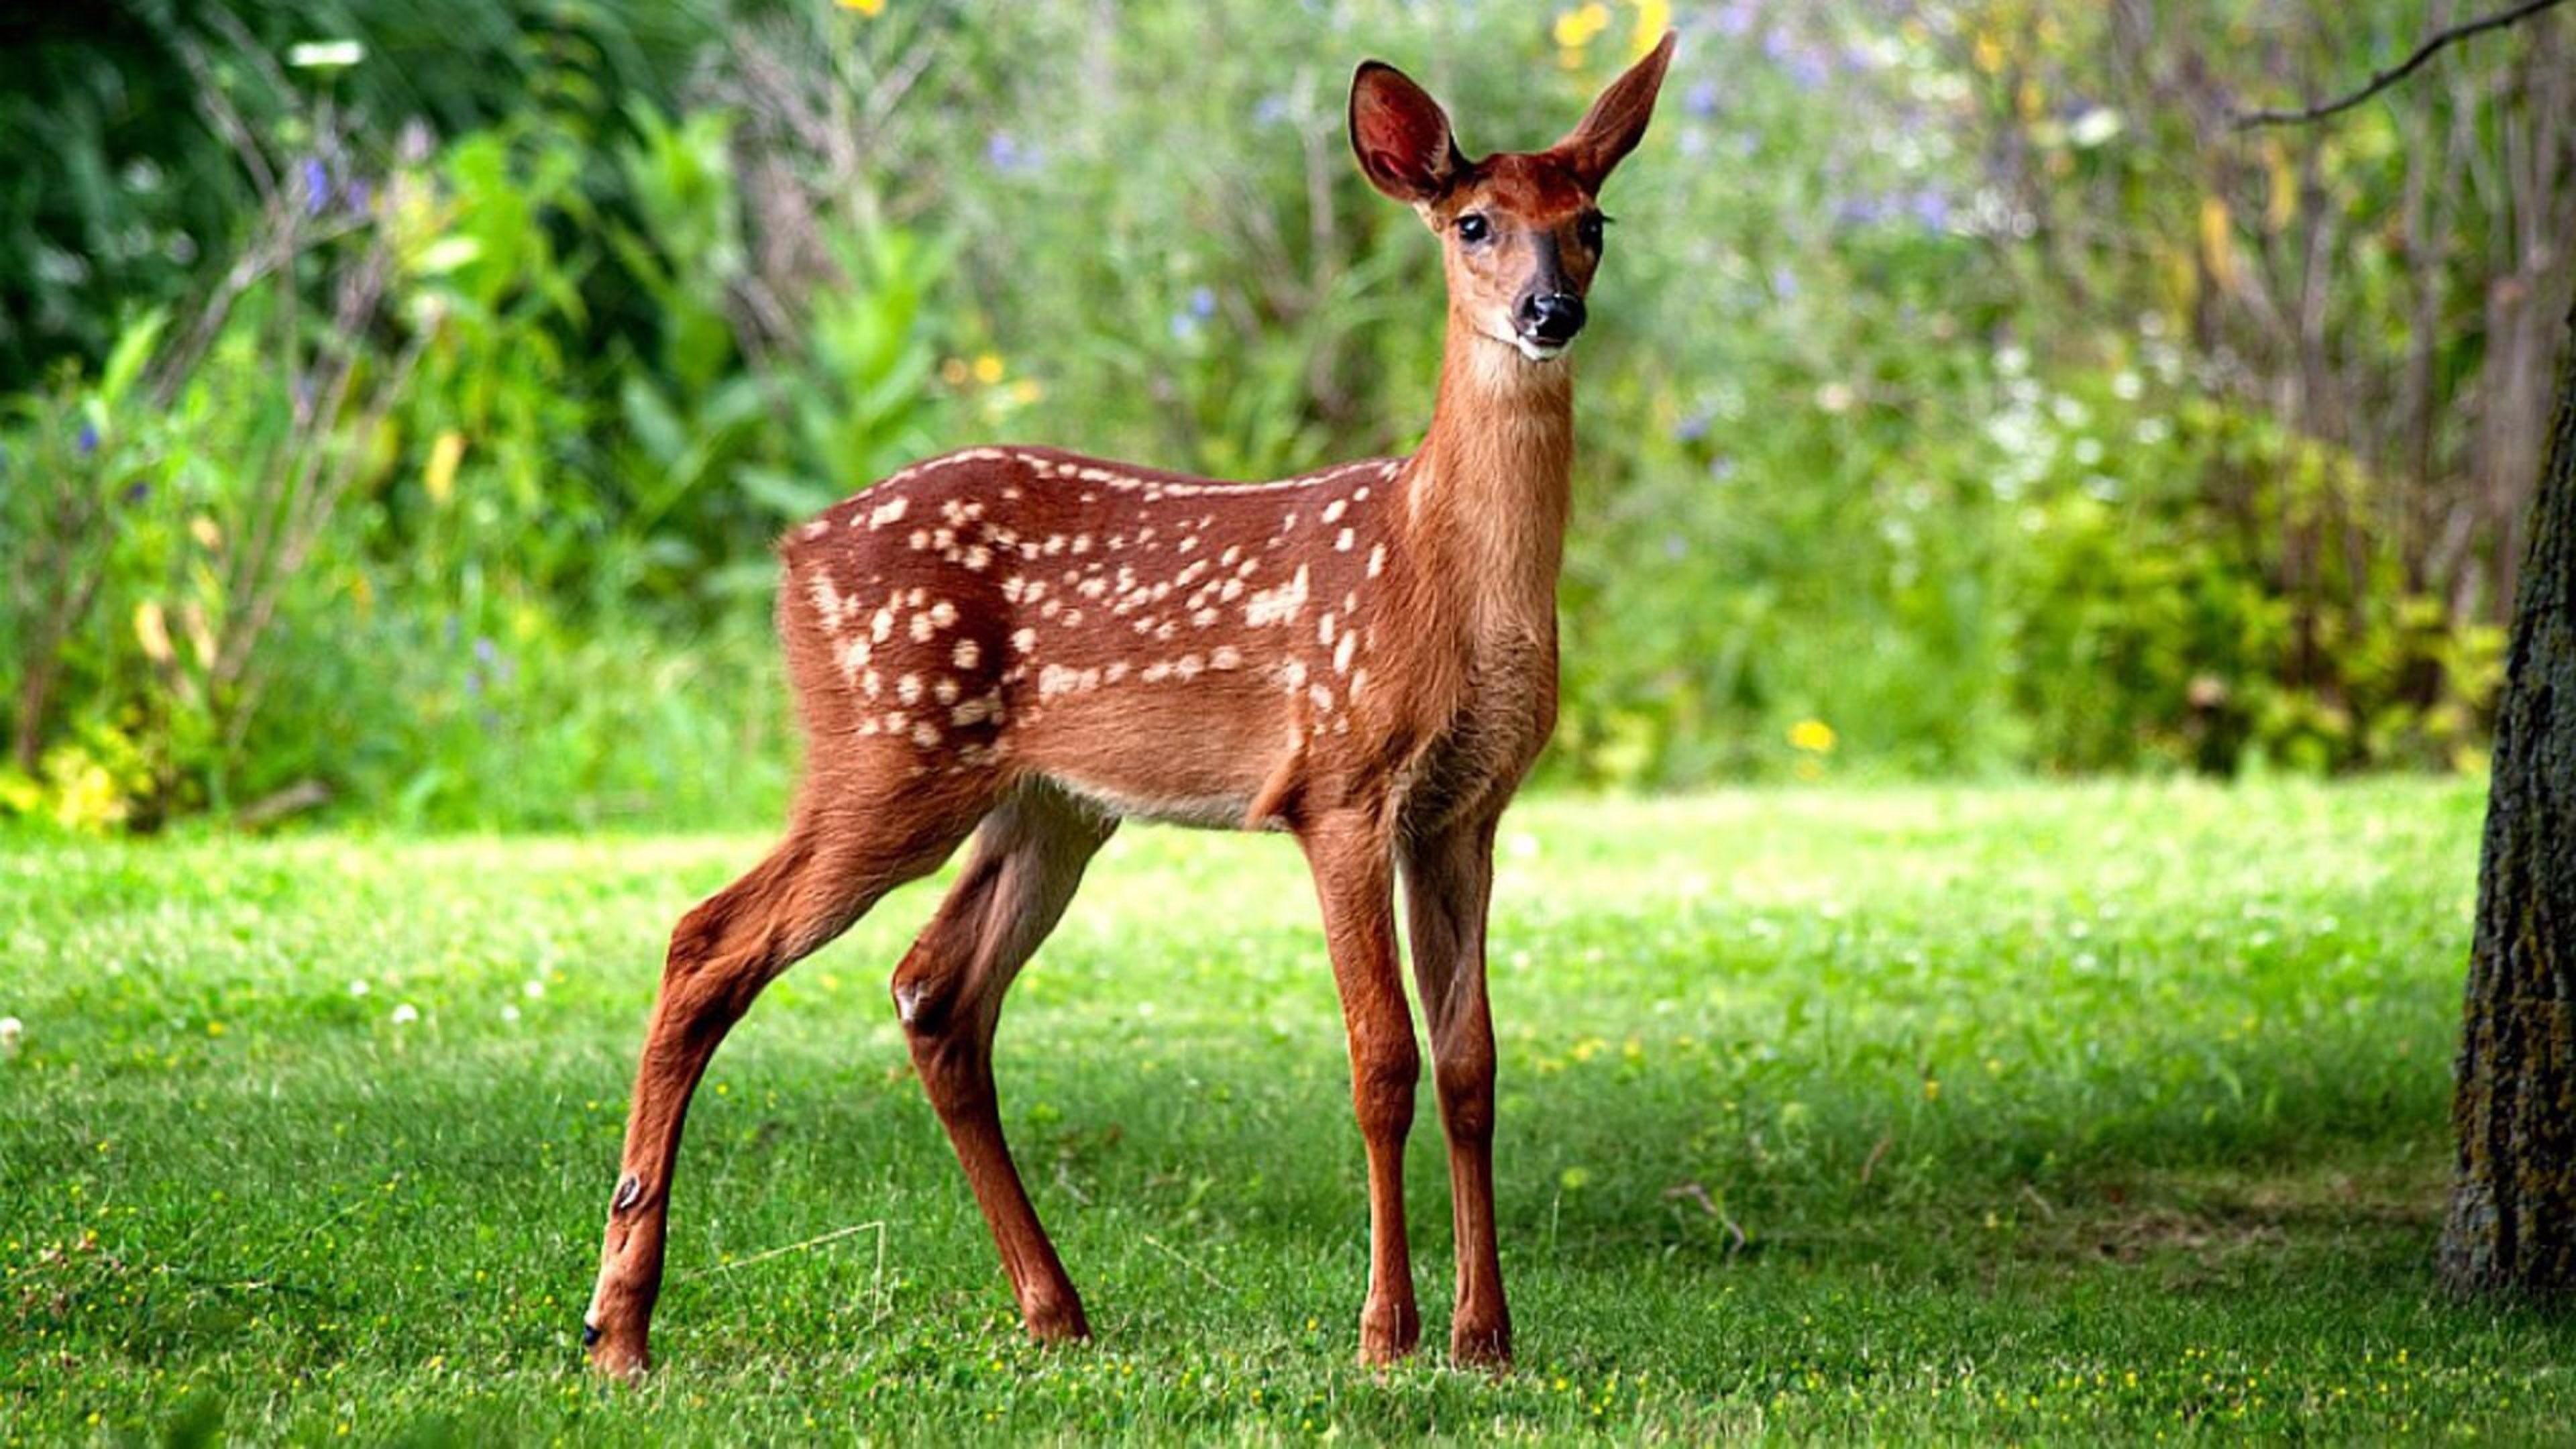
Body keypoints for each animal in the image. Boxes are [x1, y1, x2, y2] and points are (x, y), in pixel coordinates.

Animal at [583, 32, 1676, 1376]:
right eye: (1474, 223)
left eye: (1592, 222)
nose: (1549, 312)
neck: (1441, 571)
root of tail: (792, 554)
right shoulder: (1339, 780)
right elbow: (1383, 1058)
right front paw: (1386, 1334)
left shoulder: (1468, 808)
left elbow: (1472, 1062)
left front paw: (1486, 1338)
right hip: (891, 749)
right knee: (707, 942)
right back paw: (620, 1326)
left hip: (1047, 805)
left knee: (935, 989)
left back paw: (1053, 1309)